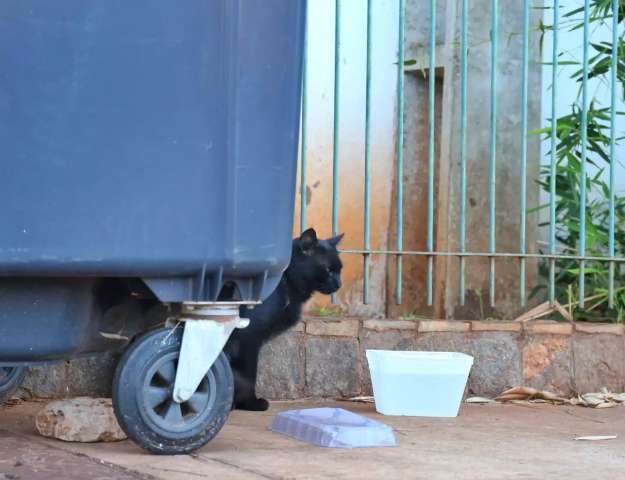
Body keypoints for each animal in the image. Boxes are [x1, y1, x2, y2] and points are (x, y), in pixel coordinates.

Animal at [223, 227, 344, 410]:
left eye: (340, 270)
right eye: (328, 270)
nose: (339, 284)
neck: (285, 280)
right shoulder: (248, 337)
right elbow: (248, 374)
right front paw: (250, 402)